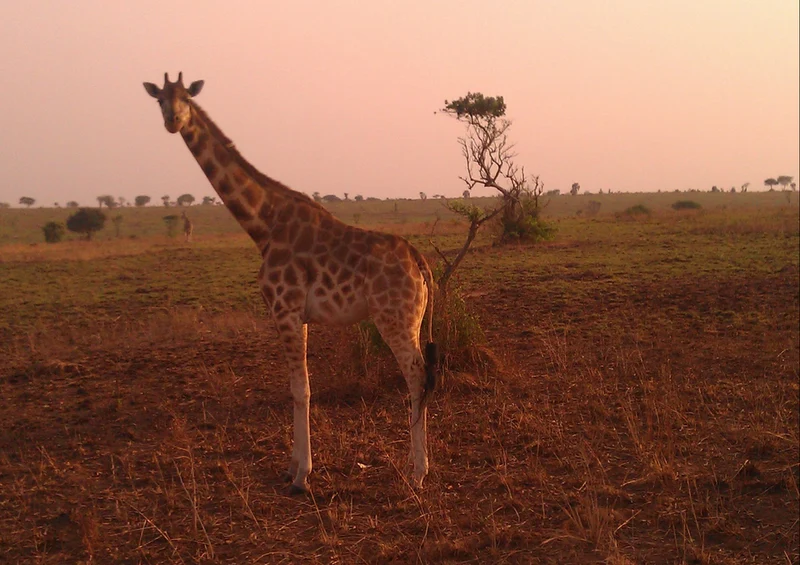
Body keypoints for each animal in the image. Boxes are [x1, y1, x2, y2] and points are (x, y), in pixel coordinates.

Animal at [144, 73, 438, 493]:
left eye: (186, 97)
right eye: (160, 100)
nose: (173, 120)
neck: (263, 224)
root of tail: (419, 261)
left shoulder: (284, 309)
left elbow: (302, 389)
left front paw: (302, 476)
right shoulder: (297, 315)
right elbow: (296, 386)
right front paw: (293, 466)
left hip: (395, 319)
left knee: (417, 376)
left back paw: (418, 471)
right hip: (407, 319)